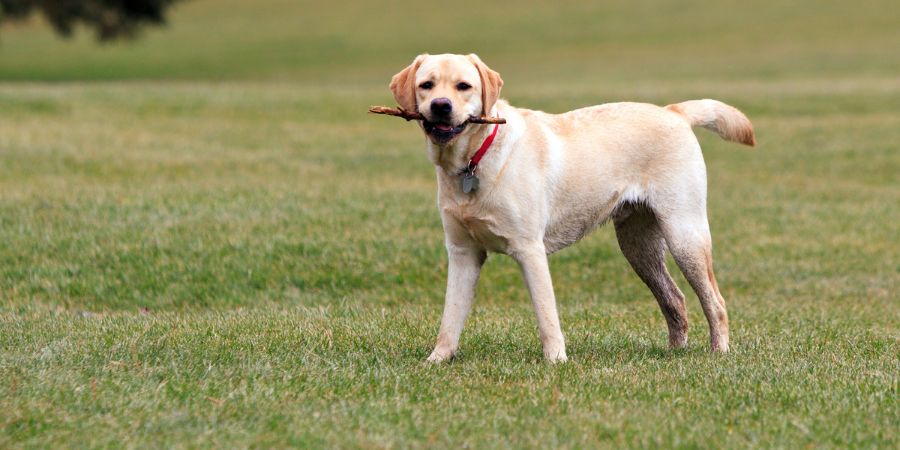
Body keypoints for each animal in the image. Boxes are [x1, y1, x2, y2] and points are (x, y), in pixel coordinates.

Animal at [386, 53, 752, 362]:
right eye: (426, 85)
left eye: (464, 86)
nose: (441, 106)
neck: (475, 159)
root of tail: (674, 111)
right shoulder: (463, 253)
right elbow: (450, 317)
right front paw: (436, 361)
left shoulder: (529, 250)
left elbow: (546, 316)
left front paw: (556, 362)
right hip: (638, 245)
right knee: (674, 299)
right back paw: (674, 352)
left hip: (684, 234)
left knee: (715, 302)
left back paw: (718, 353)